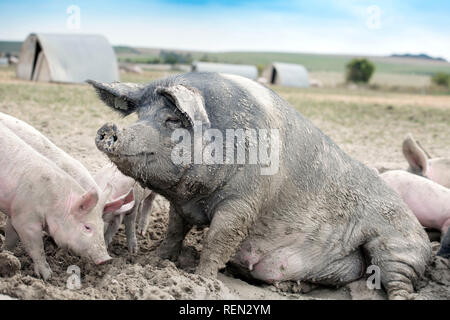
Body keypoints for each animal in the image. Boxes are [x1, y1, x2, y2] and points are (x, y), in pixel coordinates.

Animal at [0, 123, 118, 280]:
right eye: (87, 227)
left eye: (101, 225)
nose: (106, 259)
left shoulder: (15, 211)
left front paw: (6, 252)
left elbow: (11, 237)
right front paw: (47, 276)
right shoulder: (26, 217)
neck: (55, 203)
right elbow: (37, 248)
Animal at [89, 74, 432, 298]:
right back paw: (292, 286)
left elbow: (218, 241)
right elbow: (174, 232)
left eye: (172, 120)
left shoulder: (243, 204)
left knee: (398, 283)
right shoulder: (180, 205)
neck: (196, 196)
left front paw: (203, 282)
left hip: (398, 245)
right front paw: (154, 262)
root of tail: (422, 235)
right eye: (140, 114)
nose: (110, 129)